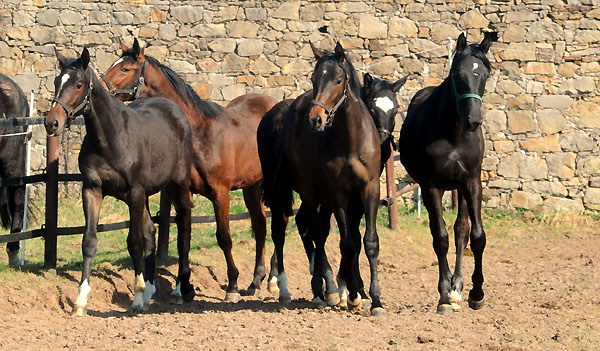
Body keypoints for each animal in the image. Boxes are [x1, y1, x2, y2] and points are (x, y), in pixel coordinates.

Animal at [47, 47, 192, 316]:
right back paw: (151, 290)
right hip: (145, 195)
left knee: (183, 228)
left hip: (177, 185)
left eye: (79, 84)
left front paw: (137, 298)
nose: (52, 122)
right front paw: (81, 301)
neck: (110, 138)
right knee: (151, 230)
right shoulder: (93, 190)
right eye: (56, 82)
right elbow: (89, 241)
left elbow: (134, 242)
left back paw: (179, 290)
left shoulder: (134, 192)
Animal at [103, 37, 278, 302]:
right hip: (251, 186)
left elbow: (224, 238)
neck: (197, 133)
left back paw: (274, 281)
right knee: (260, 225)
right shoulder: (180, 194)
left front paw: (232, 286)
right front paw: (181, 287)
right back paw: (256, 281)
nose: (98, 88)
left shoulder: (221, 193)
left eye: (125, 69)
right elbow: (182, 239)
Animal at [400, 31, 494, 316]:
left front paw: (476, 293)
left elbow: (476, 236)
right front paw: (443, 295)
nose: (474, 119)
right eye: (457, 74)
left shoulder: (471, 182)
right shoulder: (431, 186)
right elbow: (440, 238)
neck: (454, 134)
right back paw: (449, 290)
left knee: (461, 230)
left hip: (460, 188)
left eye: (485, 73)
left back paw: (458, 286)